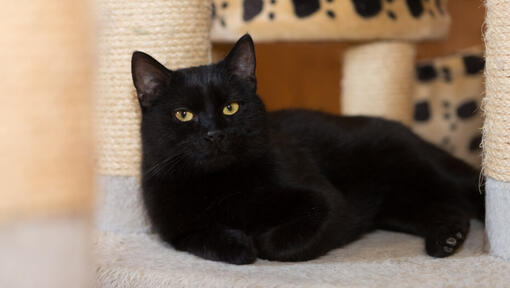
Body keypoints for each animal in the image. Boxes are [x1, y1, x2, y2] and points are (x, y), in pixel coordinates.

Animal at [131, 35, 482, 264]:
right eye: (183, 115)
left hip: (424, 172)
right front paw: (240, 244)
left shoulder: (326, 201)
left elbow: (281, 243)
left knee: (466, 196)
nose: (214, 134)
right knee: (449, 208)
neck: (219, 184)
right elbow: (205, 239)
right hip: (401, 206)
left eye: (231, 107)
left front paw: (259, 240)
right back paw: (446, 240)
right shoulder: (178, 232)